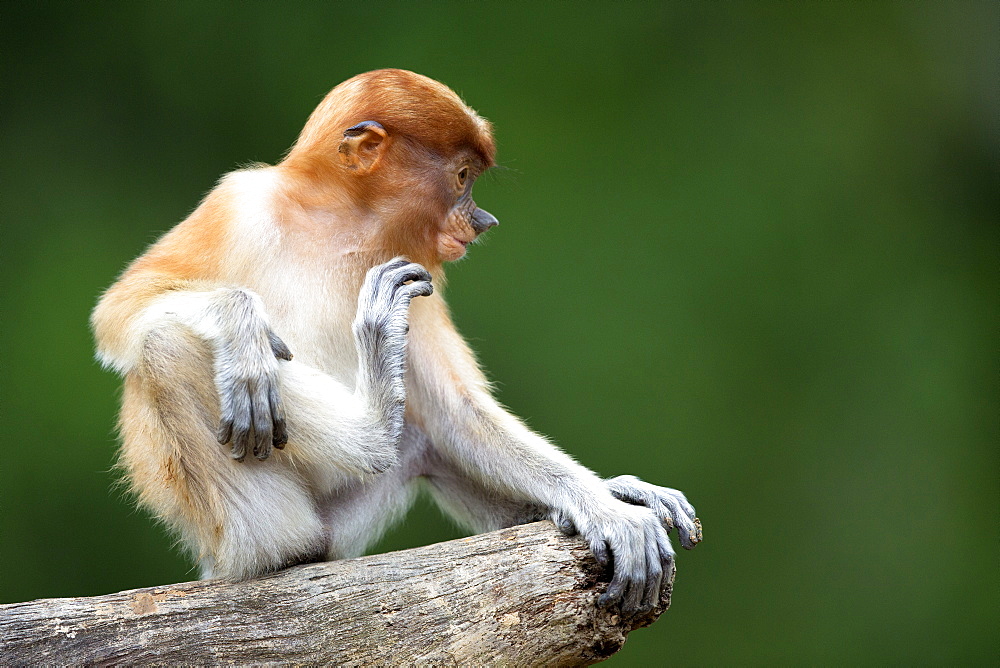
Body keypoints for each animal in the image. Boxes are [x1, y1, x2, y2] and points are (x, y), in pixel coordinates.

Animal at [94, 69, 704, 616]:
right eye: (462, 177)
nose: (484, 220)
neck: (345, 224)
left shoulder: (418, 266)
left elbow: (458, 411)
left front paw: (609, 503)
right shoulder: (242, 200)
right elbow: (122, 308)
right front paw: (242, 328)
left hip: (341, 522)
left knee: (424, 440)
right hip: (241, 526)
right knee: (168, 346)